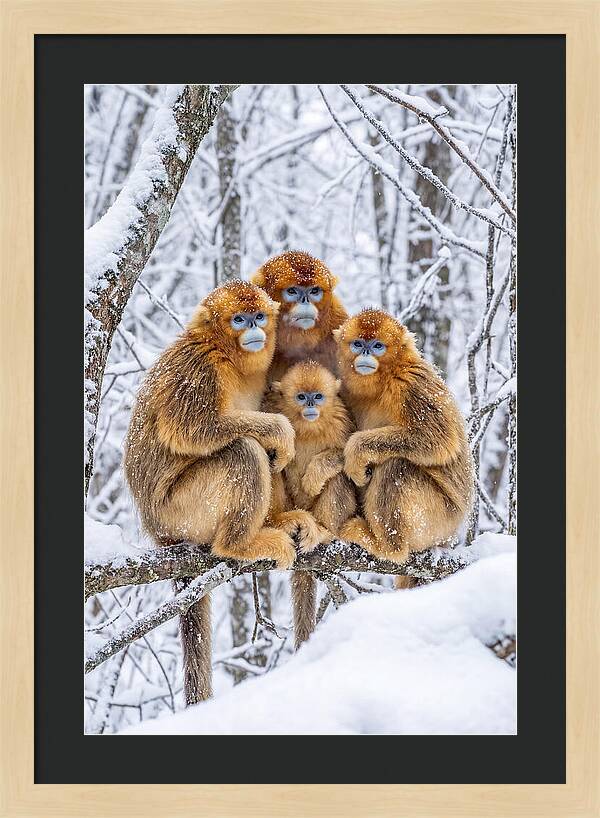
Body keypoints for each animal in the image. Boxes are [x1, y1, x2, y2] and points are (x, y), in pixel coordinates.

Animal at [124, 280, 299, 705]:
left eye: (258, 316)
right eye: (239, 319)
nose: (254, 328)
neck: (228, 356)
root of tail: (159, 532)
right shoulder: (199, 367)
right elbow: (194, 430)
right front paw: (278, 428)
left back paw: (275, 521)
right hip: (181, 511)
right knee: (243, 451)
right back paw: (238, 544)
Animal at [267, 361, 357, 648]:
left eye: (317, 396)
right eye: (300, 396)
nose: (309, 405)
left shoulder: (342, 419)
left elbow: (349, 457)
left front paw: (314, 476)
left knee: (339, 477)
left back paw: (325, 532)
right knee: (272, 464)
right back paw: (281, 522)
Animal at [333, 309, 473, 588]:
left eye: (377, 346)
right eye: (358, 344)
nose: (366, 353)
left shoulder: (411, 383)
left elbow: (439, 440)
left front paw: (356, 452)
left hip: (439, 520)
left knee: (396, 466)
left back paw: (387, 547)